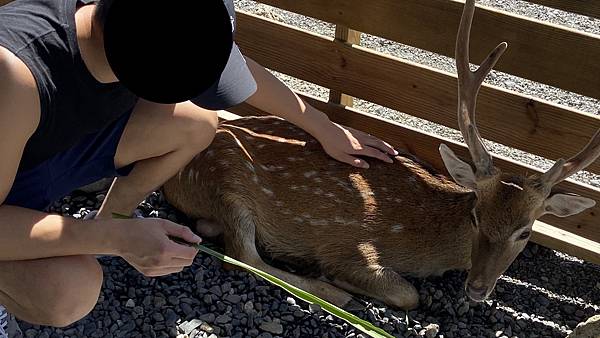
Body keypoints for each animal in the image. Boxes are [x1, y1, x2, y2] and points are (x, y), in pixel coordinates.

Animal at [162, 0, 596, 310]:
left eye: (526, 231)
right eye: (476, 217)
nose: (477, 289)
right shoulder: (350, 244)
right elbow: (408, 293)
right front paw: (339, 280)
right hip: (226, 183)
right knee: (242, 255)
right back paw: (333, 293)